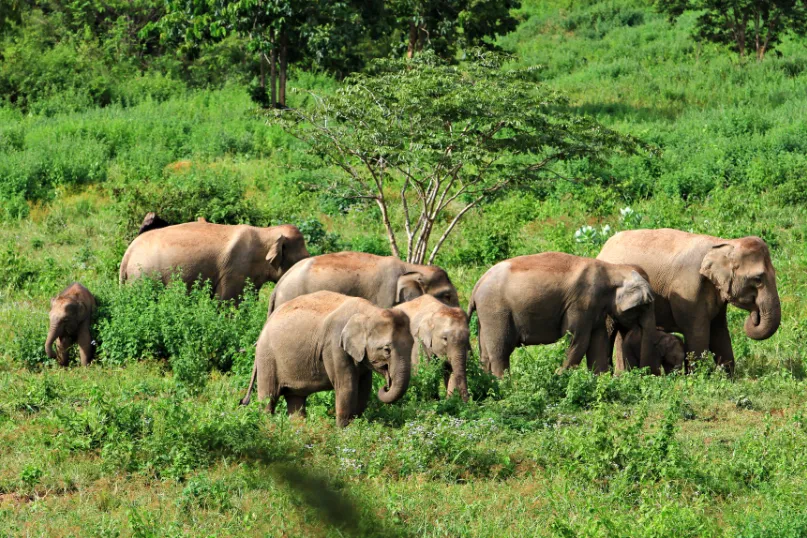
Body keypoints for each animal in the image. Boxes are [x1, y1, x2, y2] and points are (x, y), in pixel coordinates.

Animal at [120, 220, 310, 300]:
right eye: (303, 258)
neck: (267, 232)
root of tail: (127, 254)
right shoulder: (234, 270)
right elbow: (228, 301)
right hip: (142, 276)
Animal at [464, 253, 660, 374]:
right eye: (646, 305)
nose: (645, 374)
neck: (613, 269)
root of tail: (476, 286)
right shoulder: (581, 303)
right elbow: (578, 340)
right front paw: (558, 376)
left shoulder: (595, 310)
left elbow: (598, 342)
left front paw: (600, 382)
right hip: (496, 311)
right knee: (501, 351)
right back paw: (505, 387)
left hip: (485, 315)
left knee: (485, 355)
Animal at [596, 227, 780, 372]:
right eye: (758, 279)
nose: (755, 314)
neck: (723, 243)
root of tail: (603, 249)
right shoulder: (689, 290)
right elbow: (697, 333)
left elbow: (719, 332)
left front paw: (729, 379)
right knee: (610, 330)